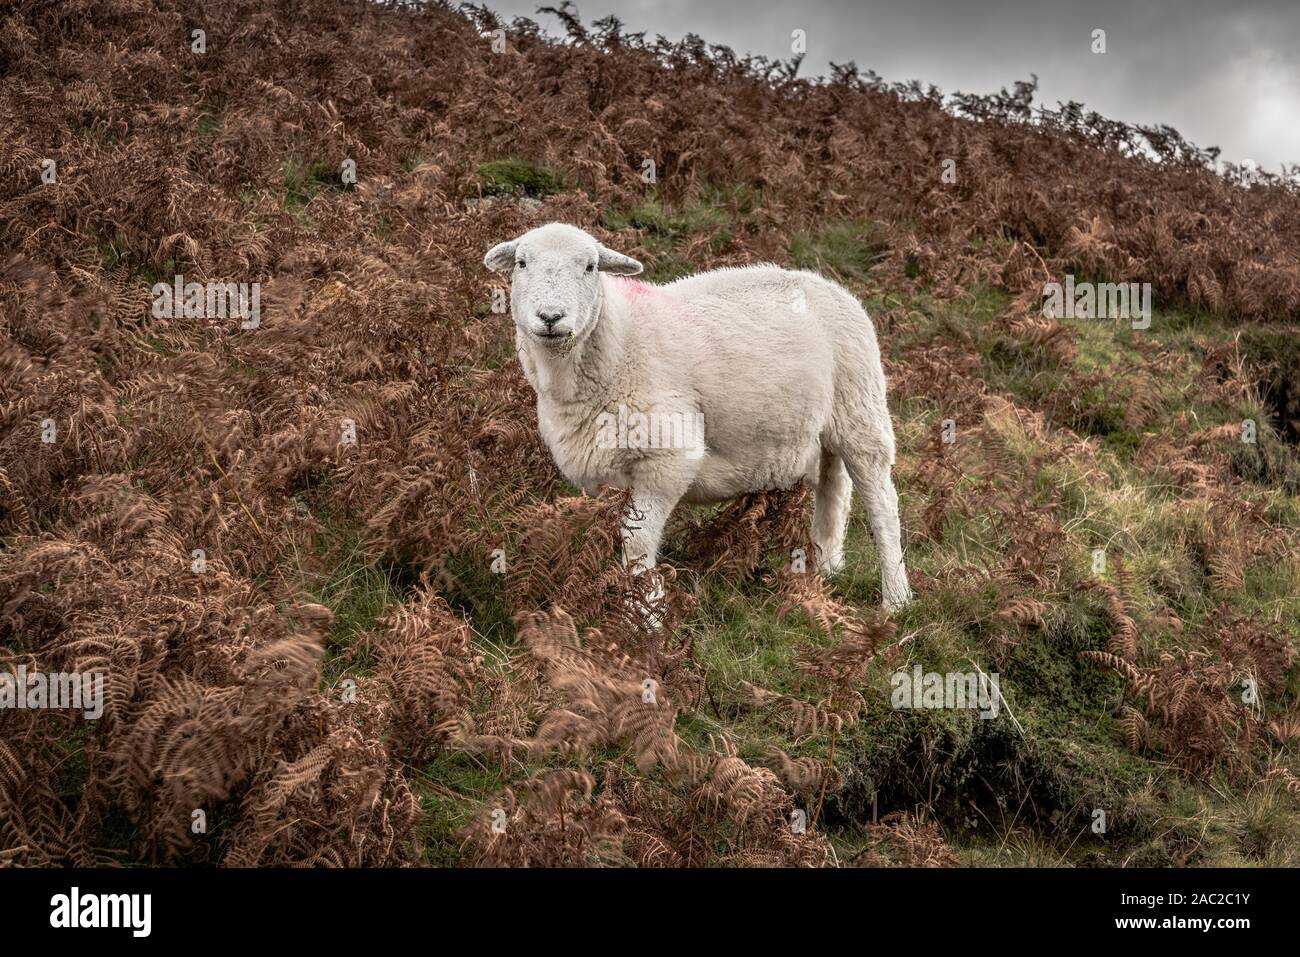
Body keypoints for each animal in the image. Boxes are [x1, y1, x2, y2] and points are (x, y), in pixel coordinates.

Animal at [484, 222, 912, 611]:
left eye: (590, 266)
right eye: (522, 262)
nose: (550, 316)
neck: (619, 339)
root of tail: (828, 283)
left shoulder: (668, 459)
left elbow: (637, 543)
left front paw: (645, 614)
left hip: (861, 410)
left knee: (883, 506)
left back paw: (896, 599)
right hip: (828, 430)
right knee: (833, 489)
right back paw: (826, 570)